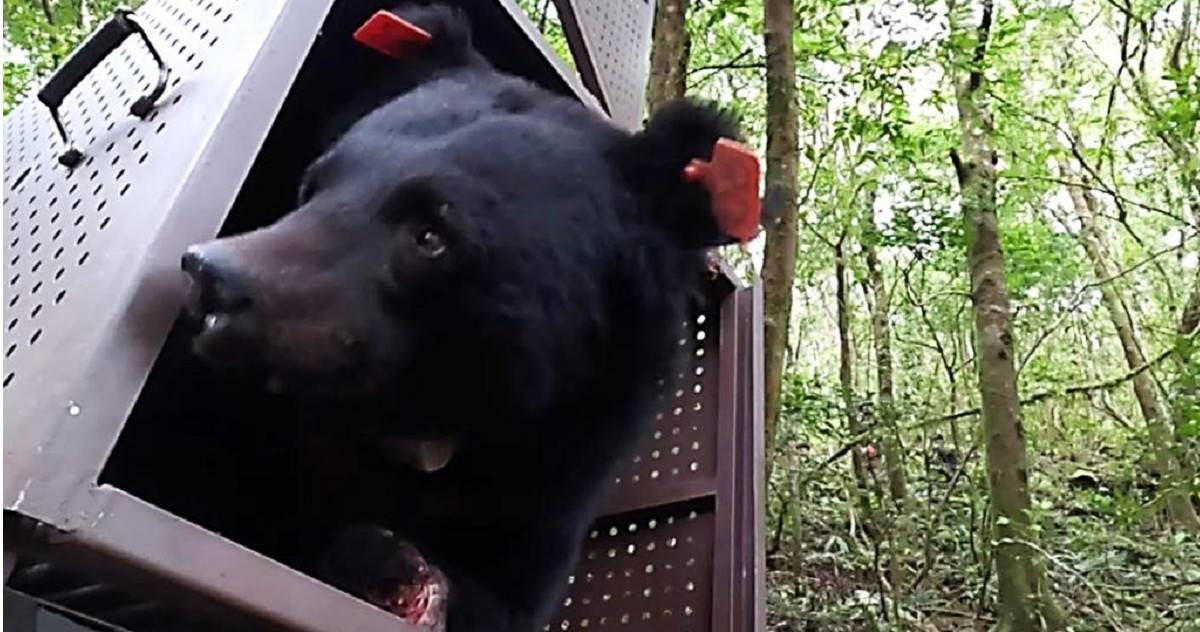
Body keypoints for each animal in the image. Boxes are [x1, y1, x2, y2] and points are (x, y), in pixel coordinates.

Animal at [177, 4, 755, 631]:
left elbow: (505, 596)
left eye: (432, 234)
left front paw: (394, 567)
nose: (211, 277)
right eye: (314, 182)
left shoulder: (556, 479)